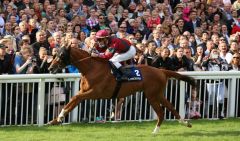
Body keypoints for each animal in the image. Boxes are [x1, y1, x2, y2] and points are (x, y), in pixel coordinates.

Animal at [47, 46, 195, 134]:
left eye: (61, 55)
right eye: (55, 54)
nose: (50, 68)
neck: (91, 68)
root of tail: (161, 71)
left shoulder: (96, 92)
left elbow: (75, 98)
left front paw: (59, 117)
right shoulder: (84, 92)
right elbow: (72, 101)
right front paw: (55, 120)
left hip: (152, 95)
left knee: (161, 112)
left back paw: (155, 131)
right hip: (158, 94)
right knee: (171, 107)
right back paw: (185, 122)